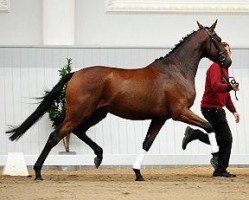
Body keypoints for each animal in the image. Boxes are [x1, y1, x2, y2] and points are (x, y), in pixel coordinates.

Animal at [5, 20, 231, 181]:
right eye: (218, 39)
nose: (227, 61)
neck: (176, 70)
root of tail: (75, 73)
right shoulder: (179, 112)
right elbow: (209, 126)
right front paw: (216, 159)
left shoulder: (160, 117)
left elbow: (147, 143)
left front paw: (138, 173)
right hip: (78, 113)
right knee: (56, 135)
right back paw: (38, 172)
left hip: (97, 113)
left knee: (79, 131)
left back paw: (98, 156)